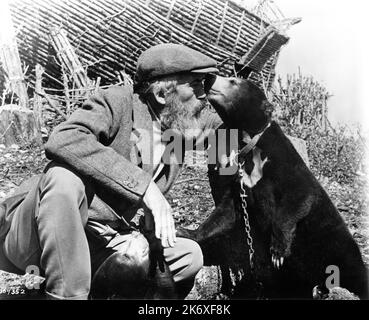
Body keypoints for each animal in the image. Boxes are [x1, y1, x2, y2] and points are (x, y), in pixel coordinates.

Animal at [178, 75, 366, 300]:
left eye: (233, 81)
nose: (209, 77)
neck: (248, 142)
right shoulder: (241, 181)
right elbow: (226, 212)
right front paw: (184, 232)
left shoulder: (285, 164)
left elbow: (300, 196)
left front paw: (277, 251)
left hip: (339, 252)